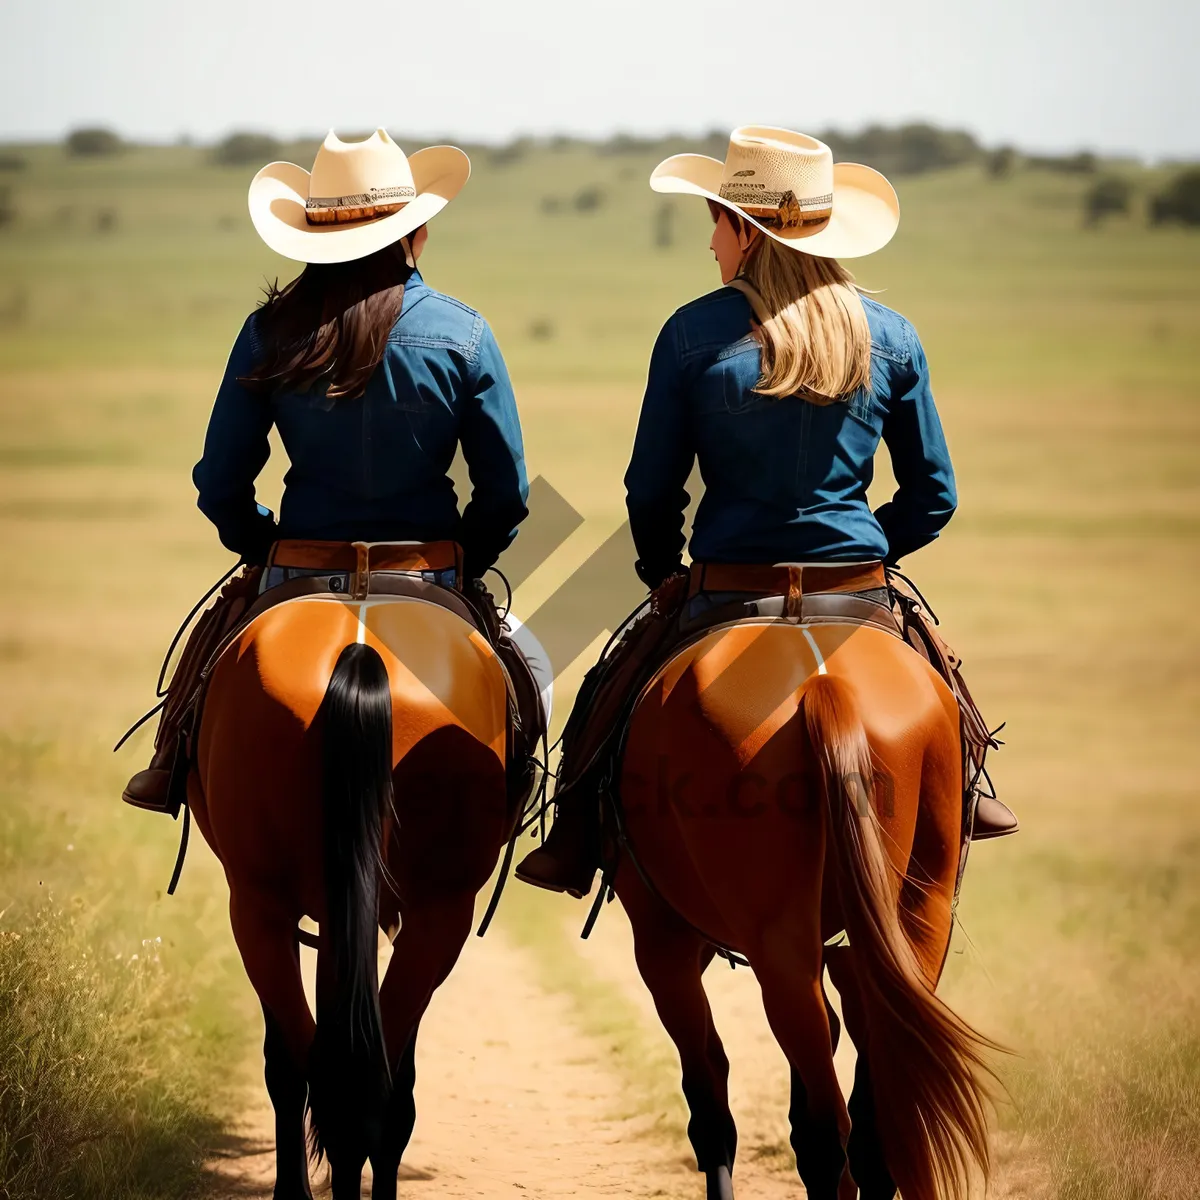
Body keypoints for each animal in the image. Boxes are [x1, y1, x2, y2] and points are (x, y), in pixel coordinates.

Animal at [614, 619, 998, 1200]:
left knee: (819, 1125)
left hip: (761, 936)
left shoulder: (662, 942)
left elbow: (709, 1097)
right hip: (921, 909)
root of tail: (823, 686)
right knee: (874, 1111)